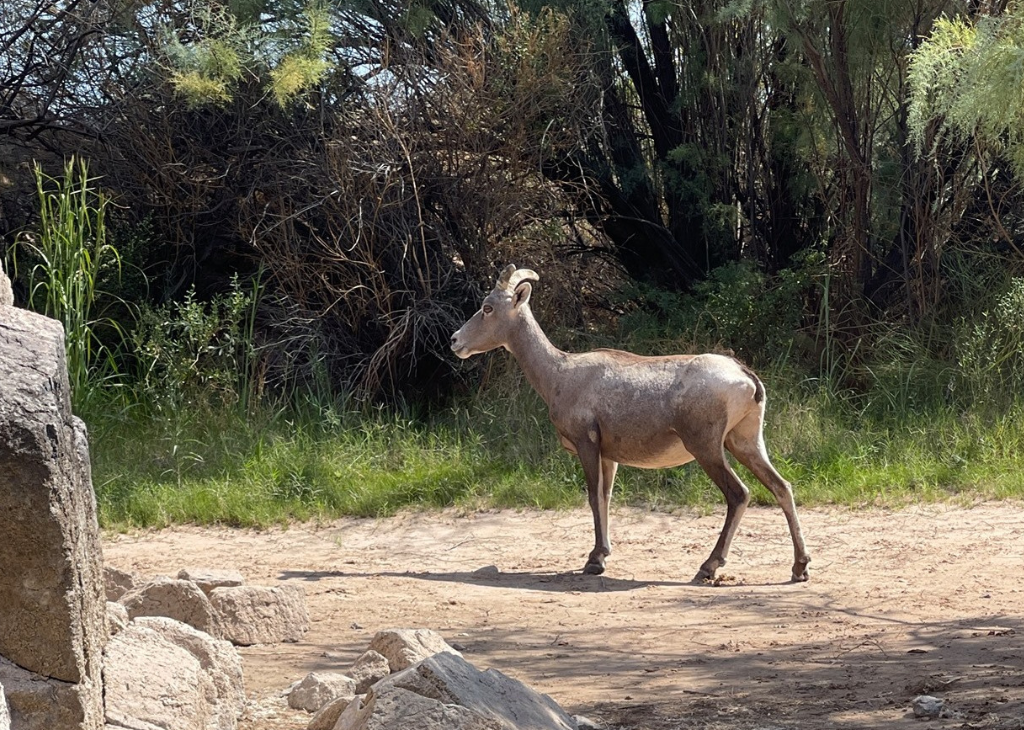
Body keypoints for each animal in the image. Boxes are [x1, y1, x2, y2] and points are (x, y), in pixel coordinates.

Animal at [450, 264, 810, 582]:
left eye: (487, 307)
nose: (455, 341)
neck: (560, 375)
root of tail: (746, 378)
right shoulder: (608, 455)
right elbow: (605, 497)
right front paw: (602, 554)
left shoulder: (587, 443)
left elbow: (593, 496)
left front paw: (593, 562)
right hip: (746, 441)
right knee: (782, 487)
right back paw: (799, 568)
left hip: (707, 447)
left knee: (739, 494)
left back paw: (708, 567)